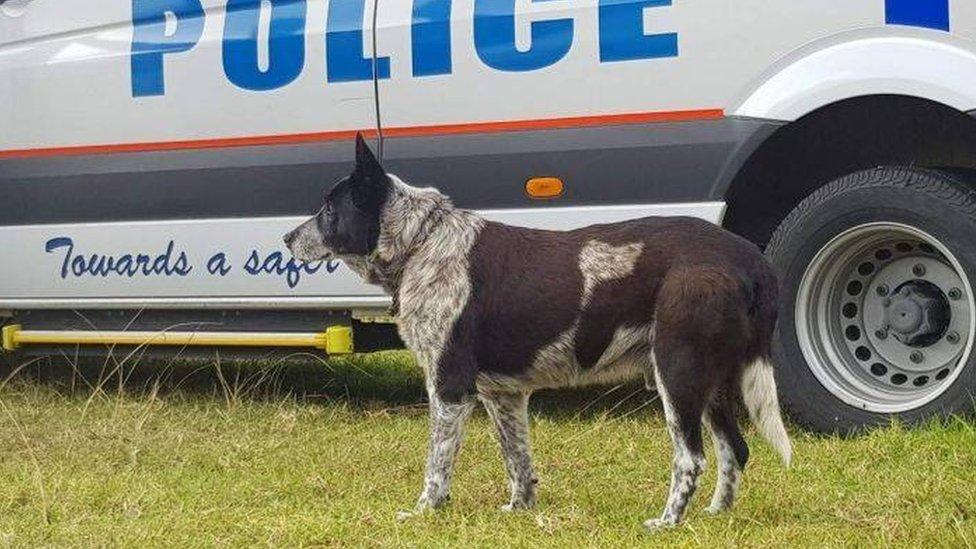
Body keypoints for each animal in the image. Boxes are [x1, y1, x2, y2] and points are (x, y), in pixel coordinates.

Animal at [284, 133, 792, 528]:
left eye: (328, 210)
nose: (286, 238)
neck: (422, 243)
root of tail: (748, 258)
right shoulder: (502, 395)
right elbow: (518, 460)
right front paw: (520, 510)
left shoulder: (450, 388)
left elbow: (437, 464)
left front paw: (427, 511)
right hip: (709, 383)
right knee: (735, 450)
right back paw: (715, 516)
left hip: (678, 375)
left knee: (692, 458)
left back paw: (668, 522)